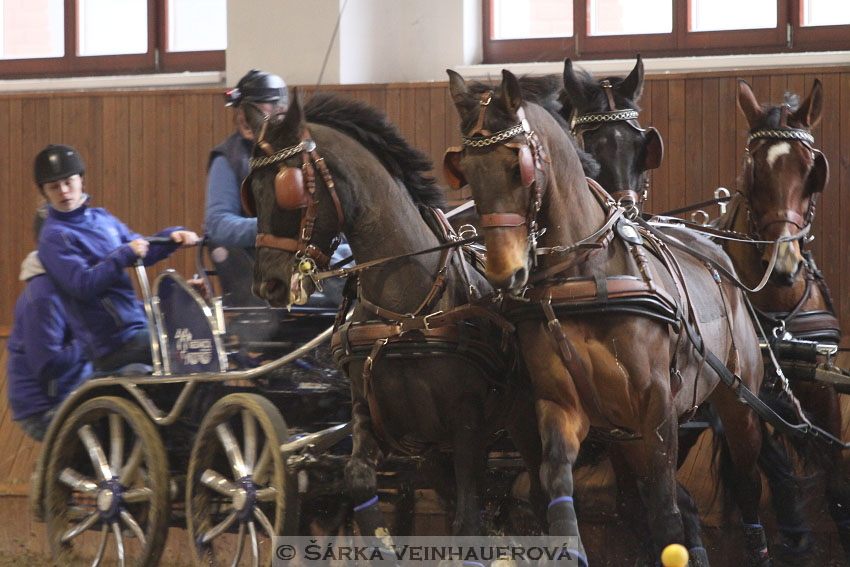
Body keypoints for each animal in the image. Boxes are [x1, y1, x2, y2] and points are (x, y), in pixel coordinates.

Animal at [238, 89, 544, 540]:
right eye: (252, 193)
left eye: (288, 189)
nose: (267, 285)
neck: (405, 312)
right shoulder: (375, 416)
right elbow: (360, 481)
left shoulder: (466, 424)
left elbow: (468, 519)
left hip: (520, 423)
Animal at [448, 69, 764, 564]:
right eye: (468, 172)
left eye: (518, 167)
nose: (504, 272)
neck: (583, 274)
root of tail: (716, 253)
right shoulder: (562, 403)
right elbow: (558, 483)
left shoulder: (657, 407)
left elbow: (665, 509)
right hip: (623, 435)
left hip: (738, 402)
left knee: (747, 482)